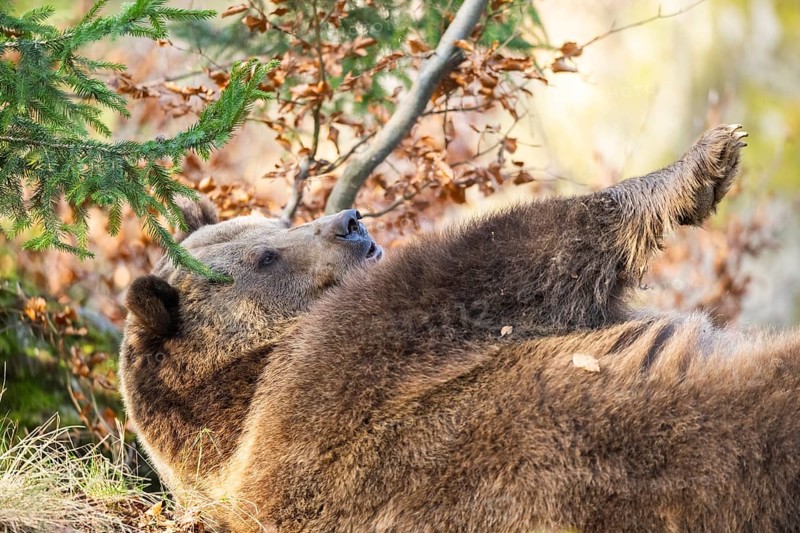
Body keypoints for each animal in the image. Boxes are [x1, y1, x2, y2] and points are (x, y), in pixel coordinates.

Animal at [119, 124, 800, 532]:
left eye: (273, 222)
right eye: (266, 257)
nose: (351, 223)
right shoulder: (348, 382)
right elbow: (512, 256)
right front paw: (705, 163)